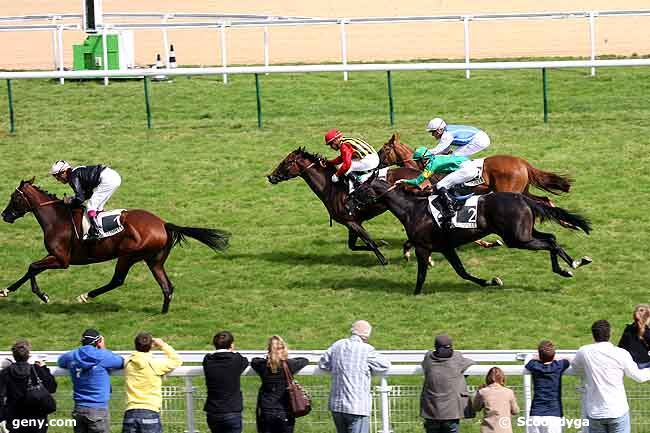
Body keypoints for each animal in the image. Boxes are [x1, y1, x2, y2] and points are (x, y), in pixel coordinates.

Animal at [0, 177, 230, 312]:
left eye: (14, 197)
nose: (5, 215)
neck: (57, 218)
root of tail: (163, 224)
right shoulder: (55, 257)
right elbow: (31, 269)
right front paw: (9, 291)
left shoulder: (61, 259)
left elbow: (32, 267)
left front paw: (40, 295)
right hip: (154, 260)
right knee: (167, 286)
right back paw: (163, 313)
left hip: (127, 255)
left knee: (117, 280)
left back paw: (86, 295)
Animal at [268, 147, 420, 264]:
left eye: (287, 162)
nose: (271, 177)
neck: (331, 188)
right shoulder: (351, 223)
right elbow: (353, 246)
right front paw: (382, 243)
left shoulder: (351, 221)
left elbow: (369, 242)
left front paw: (383, 259)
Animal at [378, 132, 568, 206]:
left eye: (384, 149)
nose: (376, 162)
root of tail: (522, 163)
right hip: (523, 190)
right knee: (544, 200)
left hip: (511, 191)